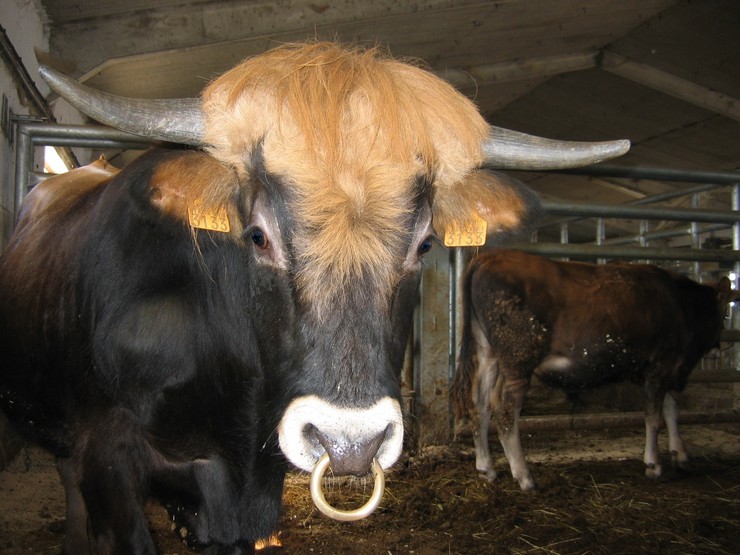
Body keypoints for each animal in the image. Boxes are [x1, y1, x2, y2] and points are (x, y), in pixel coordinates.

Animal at [450, 248, 736, 490]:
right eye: (724, 313)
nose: (724, 346)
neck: (681, 304)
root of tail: (491, 257)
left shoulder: (655, 372)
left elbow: (671, 409)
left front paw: (681, 454)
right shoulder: (659, 366)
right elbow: (654, 418)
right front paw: (654, 464)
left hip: (488, 353)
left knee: (480, 404)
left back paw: (486, 468)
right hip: (518, 359)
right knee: (506, 411)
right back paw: (525, 477)